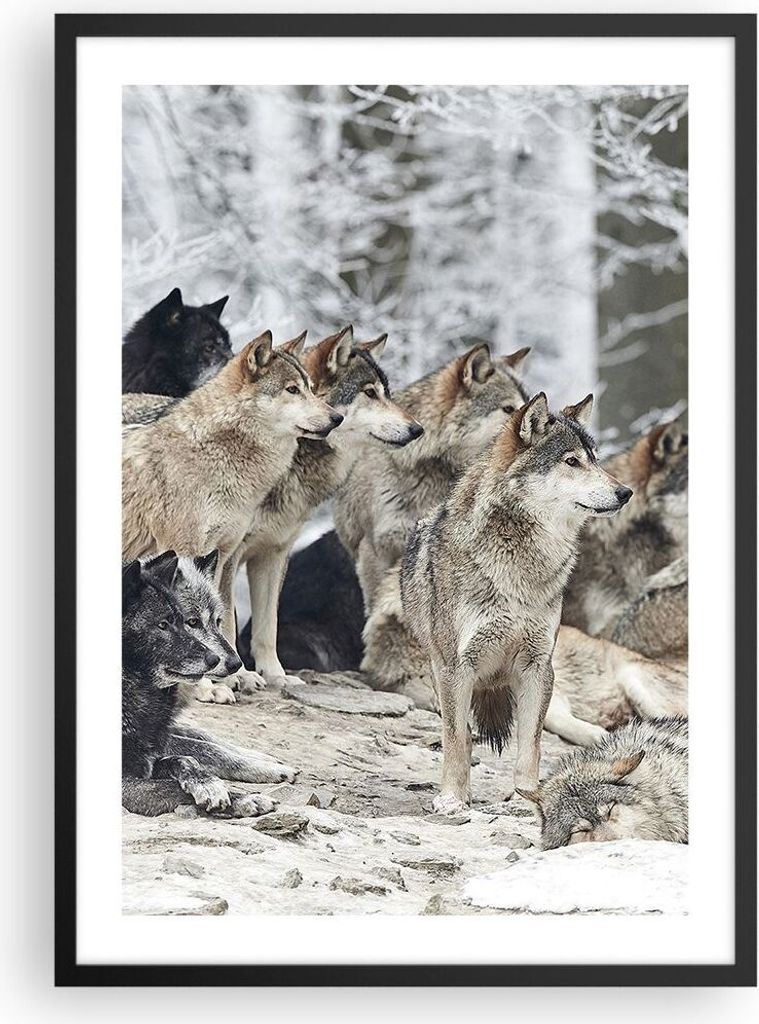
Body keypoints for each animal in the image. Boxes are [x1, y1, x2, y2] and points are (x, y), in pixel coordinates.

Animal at [122, 330, 341, 683]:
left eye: (310, 387)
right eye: (292, 390)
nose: (337, 417)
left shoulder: (224, 555)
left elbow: (226, 619)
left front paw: (247, 676)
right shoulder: (186, 550)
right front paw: (216, 685)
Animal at [122, 552, 294, 818]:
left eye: (218, 621)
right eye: (192, 622)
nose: (235, 663)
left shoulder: (159, 736)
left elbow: (203, 742)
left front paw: (263, 760)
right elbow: (195, 759)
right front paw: (244, 795)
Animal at [235, 326, 422, 690]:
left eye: (388, 394)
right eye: (369, 393)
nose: (417, 429)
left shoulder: (274, 552)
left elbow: (267, 626)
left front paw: (275, 675)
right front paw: (238, 675)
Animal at [401, 393, 633, 812]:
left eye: (596, 459)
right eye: (571, 461)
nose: (625, 492)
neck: (519, 566)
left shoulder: (538, 666)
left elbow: (531, 744)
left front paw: (526, 798)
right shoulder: (455, 668)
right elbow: (456, 740)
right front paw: (452, 800)